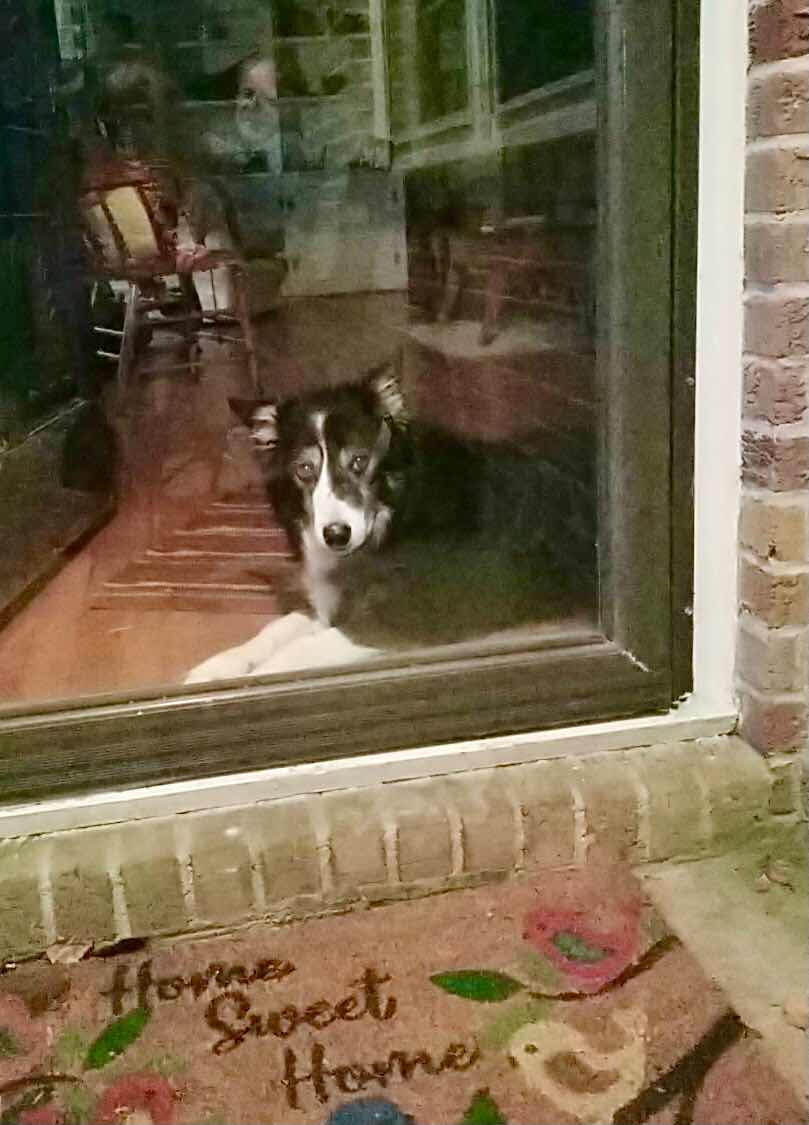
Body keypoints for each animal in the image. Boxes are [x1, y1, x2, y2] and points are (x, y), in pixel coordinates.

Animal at [185, 360, 580, 683]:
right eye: (305, 469)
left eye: (359, 461)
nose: (336, 535)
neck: (398, 515)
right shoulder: (331, 601)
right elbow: (277, 629)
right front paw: (216, 668)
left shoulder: (404, 614)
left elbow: (306, 646)